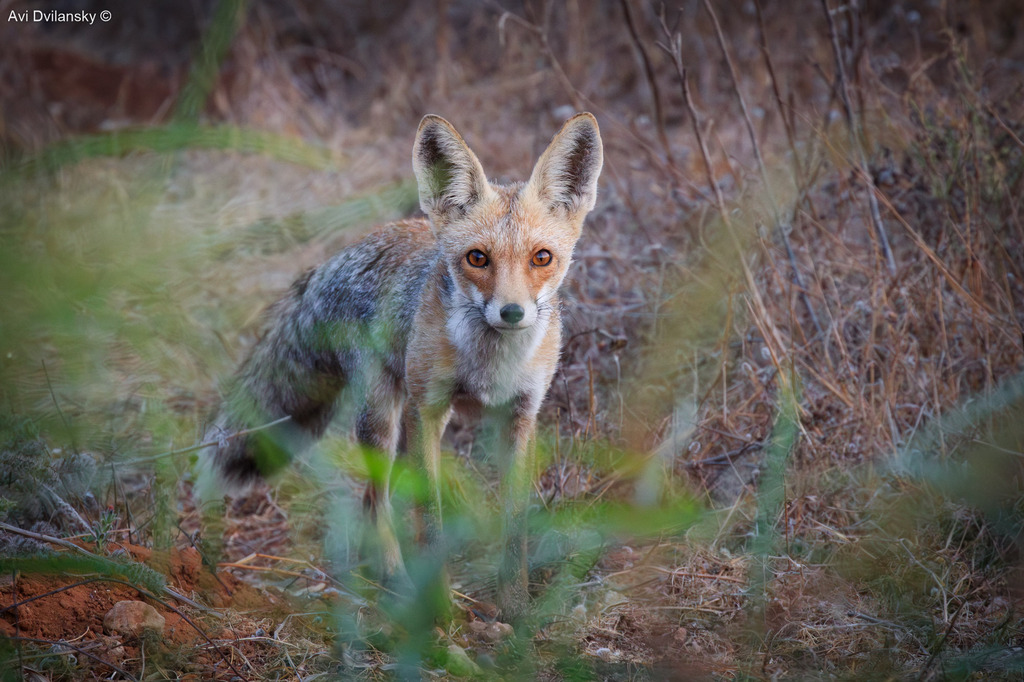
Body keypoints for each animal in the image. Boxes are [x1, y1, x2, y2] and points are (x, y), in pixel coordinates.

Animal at [199, 112, 603, 620]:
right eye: (477, 258)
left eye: (541, 258)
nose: (511, 313)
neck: (489, 366)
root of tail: (336, 258)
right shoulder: (424, 411)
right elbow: (429, 517)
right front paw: (441, 612)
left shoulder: (520, 416)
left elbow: (516, 525)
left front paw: (515, 610)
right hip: (383, 421)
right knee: (375, 502)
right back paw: (394, 579)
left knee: (374, 501)